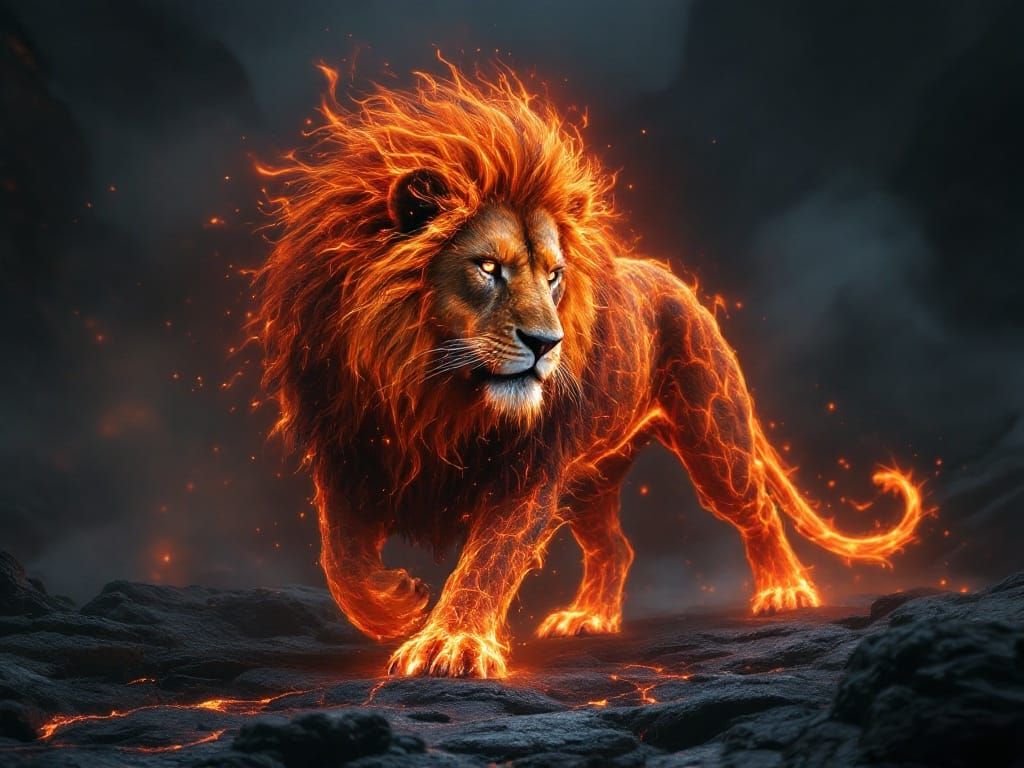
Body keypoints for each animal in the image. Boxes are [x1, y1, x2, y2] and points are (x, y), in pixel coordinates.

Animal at [253, 62, 926, 678]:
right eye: (489, 268)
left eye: (554, 275)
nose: (547, 342)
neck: (428, 390)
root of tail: (673, 278)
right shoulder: (348, 450)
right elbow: (340, 560)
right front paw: (398, 605)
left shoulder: (527, 468)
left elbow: (490, 560)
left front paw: (452, 644)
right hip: (591, 478)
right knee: (615, 548)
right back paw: (589, 617)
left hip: (713, 438)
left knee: (754, 506)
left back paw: (784, 590)